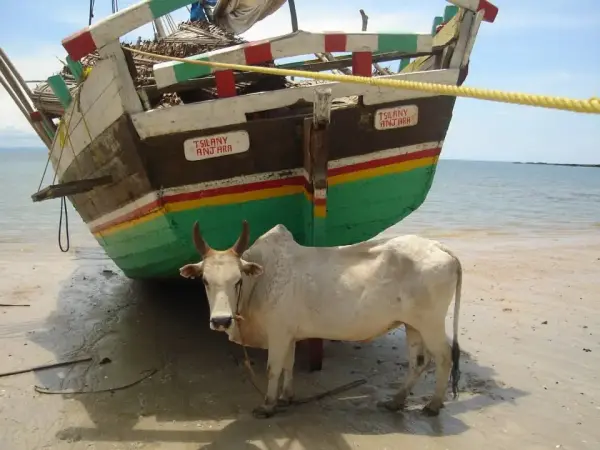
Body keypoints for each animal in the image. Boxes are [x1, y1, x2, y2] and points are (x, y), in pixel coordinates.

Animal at [180, 221, 462, 418]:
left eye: (237, 280)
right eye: (205, 281)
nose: (221, 320)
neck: (259, 281)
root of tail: (440, 247)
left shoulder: (278, 333)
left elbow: (273, 369)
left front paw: (268, 405)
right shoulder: (289, 335)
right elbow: (288, 366)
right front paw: (286, 397)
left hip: (431, 323)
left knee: (444, 357)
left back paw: (433, 405)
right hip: (412, 325)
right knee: (418, 362)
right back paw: (396, 401)